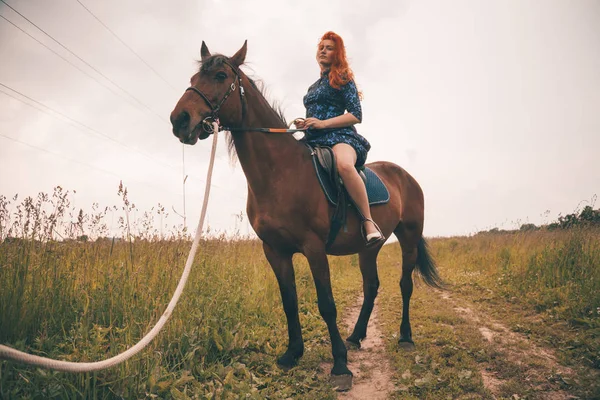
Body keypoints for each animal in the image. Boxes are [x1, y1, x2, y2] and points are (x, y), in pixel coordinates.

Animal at [169, 40, 440, 388]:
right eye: (193, 76)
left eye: (219, 76)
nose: (179, 120)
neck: (281, 172)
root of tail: (406, 176)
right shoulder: (275, 250)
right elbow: (289, 301)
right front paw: (292, 353)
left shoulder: (314, 249)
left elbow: (327, 305)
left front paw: (340, 366)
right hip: (369, 247)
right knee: (372, 286)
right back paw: (356, 336)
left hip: (408, 237)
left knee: (405, 284)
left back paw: (404, 338)